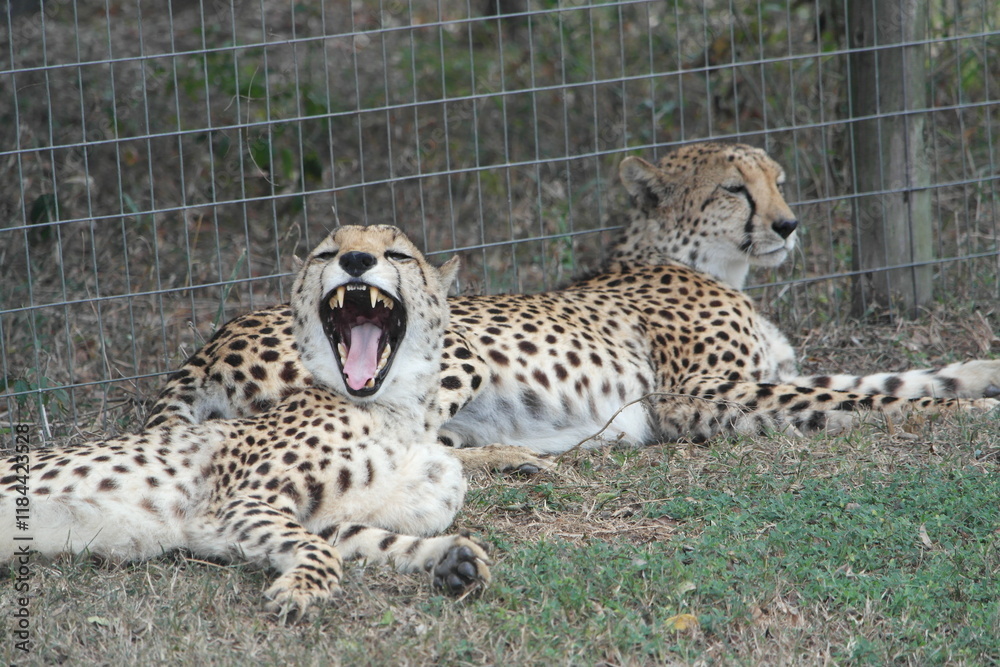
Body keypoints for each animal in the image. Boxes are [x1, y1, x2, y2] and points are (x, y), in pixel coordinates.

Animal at [1, 225, 497, 621]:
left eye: (398, 254)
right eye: (326, 253)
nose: (356, 260)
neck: (396, 408)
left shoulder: (316, 518)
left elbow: (372, 541)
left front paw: (452, 558)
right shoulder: (235, 505)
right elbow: (323, 551)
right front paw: (301, 589)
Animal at [143, 142, 1000, 455]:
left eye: (778, 179)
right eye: (735, 187)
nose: (789, 223)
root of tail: (210, 341)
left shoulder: (758, 376)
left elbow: (882, 377)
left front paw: (979, 375)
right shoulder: (695, 398)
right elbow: (863, 397)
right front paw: (968, 411)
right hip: (449, 355)